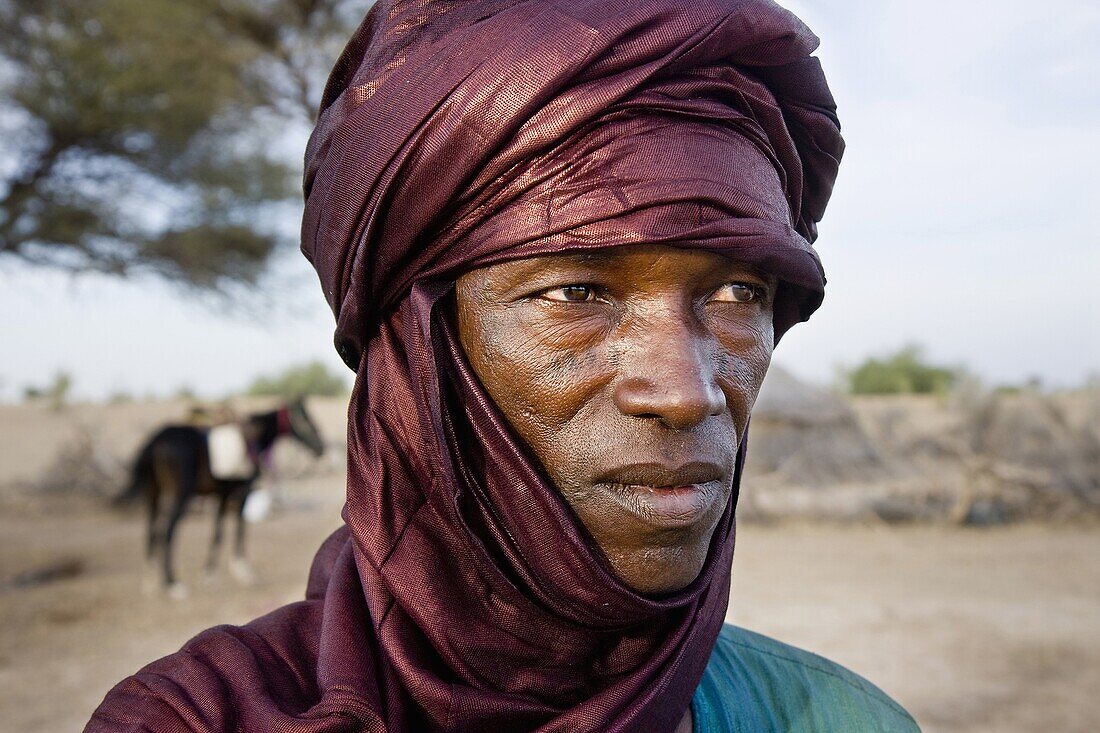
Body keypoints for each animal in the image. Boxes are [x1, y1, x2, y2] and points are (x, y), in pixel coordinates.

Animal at [123, 396, 325, 589]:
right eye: (305, 418)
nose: (321, 448)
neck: (253, 437)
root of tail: (157, 439)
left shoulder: (222, 494)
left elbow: (218, 532)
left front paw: (209, 573)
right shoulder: (243, 492)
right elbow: (239, 529)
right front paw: (243, 571)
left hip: (153, 493)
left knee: (151, 529)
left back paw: (150, 580)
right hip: (180, 494)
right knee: (167, 531)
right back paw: (172, 583)